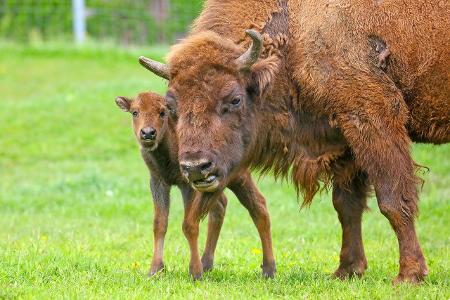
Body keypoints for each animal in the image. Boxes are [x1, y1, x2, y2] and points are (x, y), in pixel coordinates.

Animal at [114, 91, 276, 278]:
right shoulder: (158, 181)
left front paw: (195, 272)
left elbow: (189, 224)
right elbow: (160, 224)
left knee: (258, 205)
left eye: (162, 112)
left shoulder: (189, 185)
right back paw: (207, 263)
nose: (148, 133)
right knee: (222, 205)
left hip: (238, 176)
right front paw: (155, 269)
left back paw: (269, 269)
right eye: (135, 112)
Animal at [139, 0, 448, 282]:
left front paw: (409, 275)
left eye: (234, 99)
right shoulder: (347, 143)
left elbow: (392, 200)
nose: (195, 167)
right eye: (171, 107)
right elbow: (347, 206)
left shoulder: (374, 121)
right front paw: (346, 271)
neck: (295, 28)